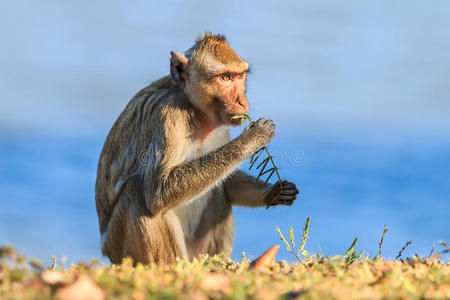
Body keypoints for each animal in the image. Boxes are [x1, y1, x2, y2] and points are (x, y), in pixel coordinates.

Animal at [95, 33, 298, 264]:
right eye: (225, 78)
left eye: (239, 77)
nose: (242, 101)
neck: (195, 110)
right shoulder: (168, 116)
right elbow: (159, 192)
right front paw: (251, 139)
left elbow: (226, 179)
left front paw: (273, 192)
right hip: (119, 247)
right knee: (137, 191)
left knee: (217, 189)